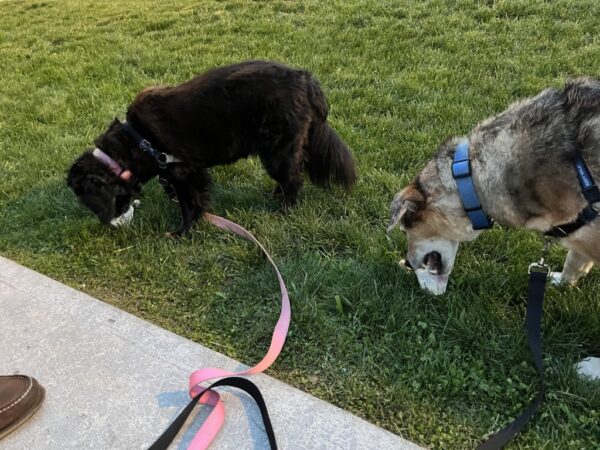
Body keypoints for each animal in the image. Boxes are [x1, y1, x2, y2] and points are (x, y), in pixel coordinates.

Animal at [67, 60, 356, 236]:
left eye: (90, 201)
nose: (108, 225)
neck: (137, 141)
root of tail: (306, 80)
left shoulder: (184, 174)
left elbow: (188, 206)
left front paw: (181, 233)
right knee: (289, 177)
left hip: (277, 151)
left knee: (293, 179)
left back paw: (284, 211)